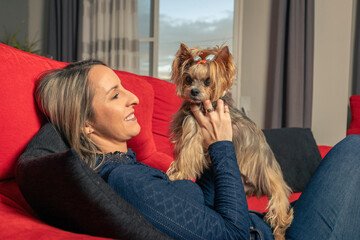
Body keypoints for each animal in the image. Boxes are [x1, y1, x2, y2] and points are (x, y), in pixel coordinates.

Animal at [167, 43, 294, 240]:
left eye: (208, 81)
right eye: (188, 79)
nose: (194, 92)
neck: (203, 106)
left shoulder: (193, 136)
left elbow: (186, 157)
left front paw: (176, 175)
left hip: (272, 182)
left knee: (280, 209)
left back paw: (280, 231)